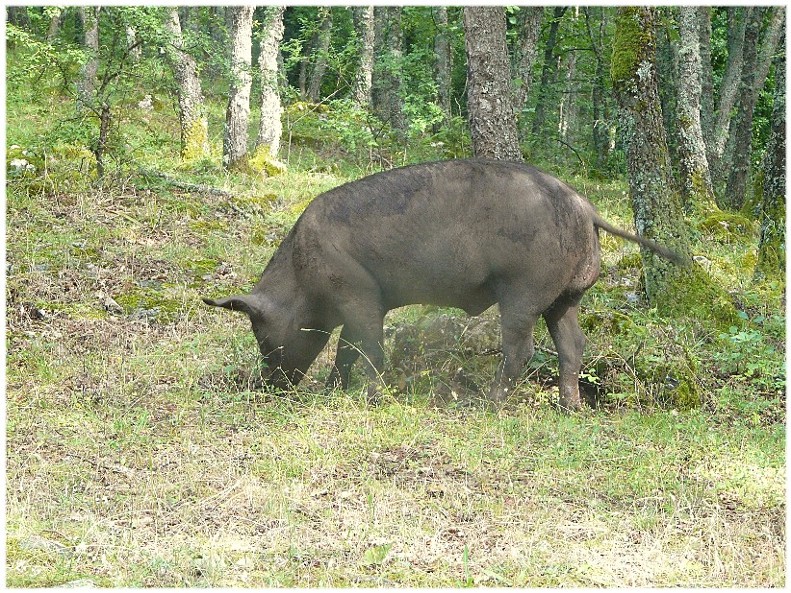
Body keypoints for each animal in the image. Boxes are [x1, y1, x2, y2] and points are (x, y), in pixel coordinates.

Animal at [204, 161, 680, 412]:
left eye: (261, 334)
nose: (266, 386)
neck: (301, 279)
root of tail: (586, 207)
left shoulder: (357, 293)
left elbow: (368, 348)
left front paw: (369, 397)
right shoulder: (361, 304)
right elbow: (346, 349)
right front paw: (333, 391)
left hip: (522, 290)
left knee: (521, 349)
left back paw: (488, 405)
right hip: (565, 297)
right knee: (573, 344)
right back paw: (570, 407)